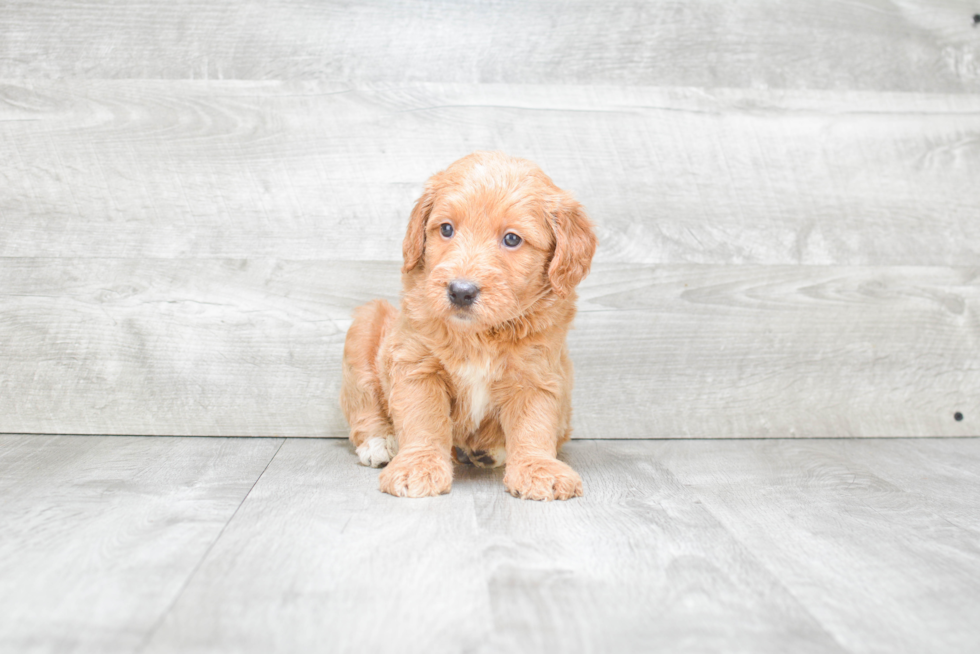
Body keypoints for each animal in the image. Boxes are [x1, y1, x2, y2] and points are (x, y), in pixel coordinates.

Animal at [336, 152, 596, 502]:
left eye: (512, 239)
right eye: (446, 229)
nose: (460, 291)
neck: (480, 335)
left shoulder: (537, 374)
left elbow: (534, 424)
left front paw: (539, 470)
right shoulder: (416, 364)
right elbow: (423, 419)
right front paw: (417, 467)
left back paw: (491, 451)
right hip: (366, 327)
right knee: (364, 406)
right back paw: (380, 444)